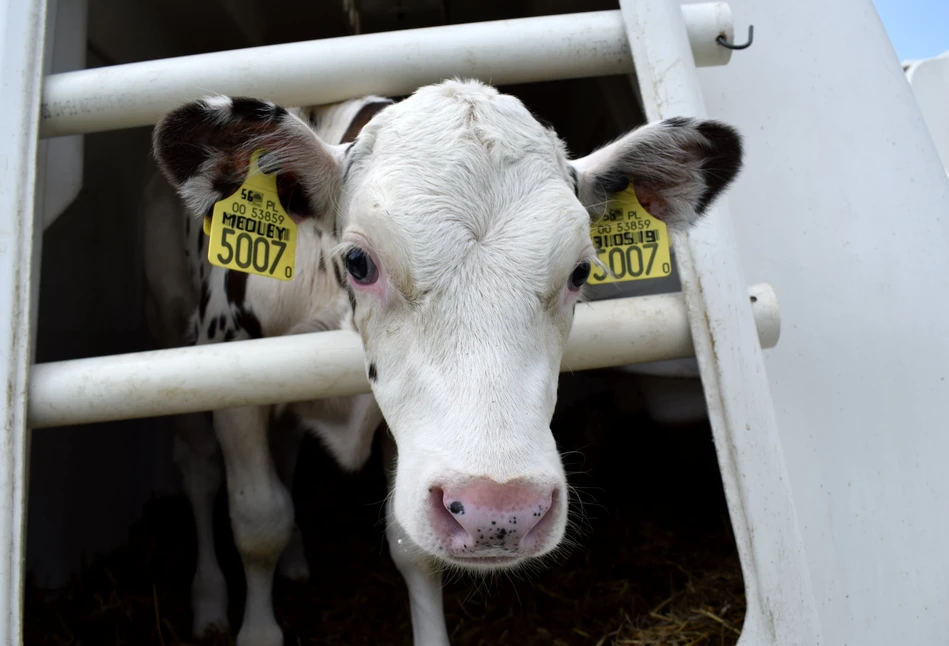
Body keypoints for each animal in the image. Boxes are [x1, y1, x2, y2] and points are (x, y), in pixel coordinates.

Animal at [146, 77, 740, 646]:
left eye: (581, 271)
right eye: (359, 262)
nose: (499, 510)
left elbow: (410, 546)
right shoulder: (234, 382)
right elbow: (257, 520)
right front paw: (256, 631)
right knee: (199, 469)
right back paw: (209, 601)